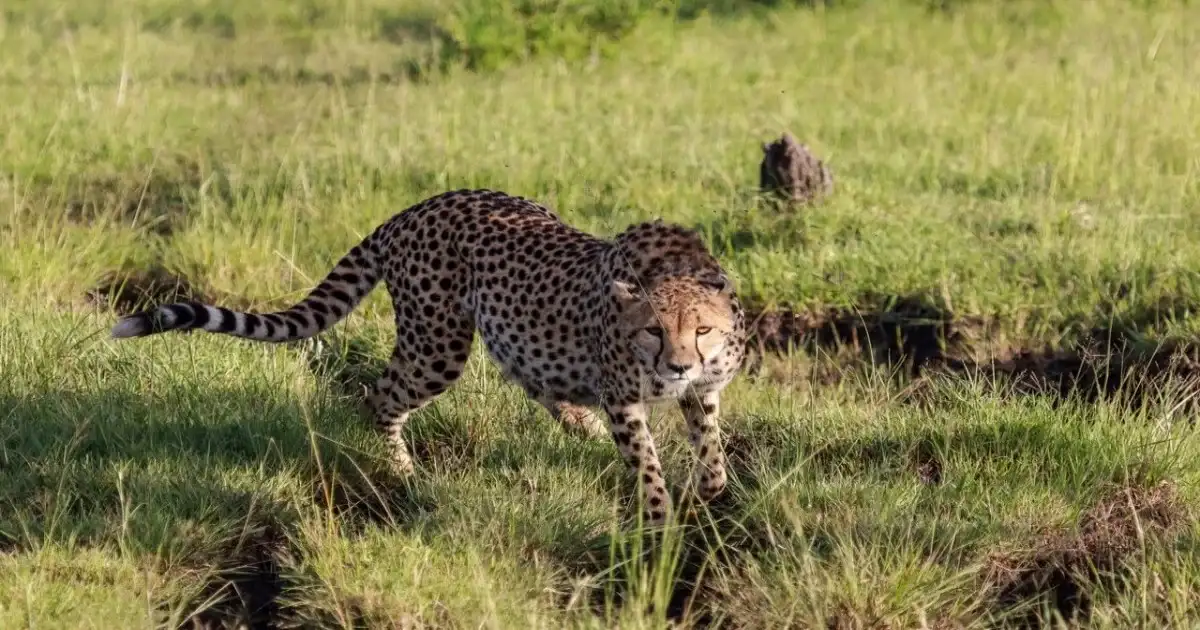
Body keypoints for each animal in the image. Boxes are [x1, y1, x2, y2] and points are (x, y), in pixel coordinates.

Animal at [110, 188, 748, 526]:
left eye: (703, 330)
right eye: (652, 331)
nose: (677, 365)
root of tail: (416, 208)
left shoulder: (703, 390)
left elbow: (712, 449)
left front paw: (706, 490)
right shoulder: (624, 397)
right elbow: (647, 463)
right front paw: (660, 519)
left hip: (500, 331)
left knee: (532, 377)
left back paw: (577, 423)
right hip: (438, 342)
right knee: (379, 396)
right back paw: (402, 470)